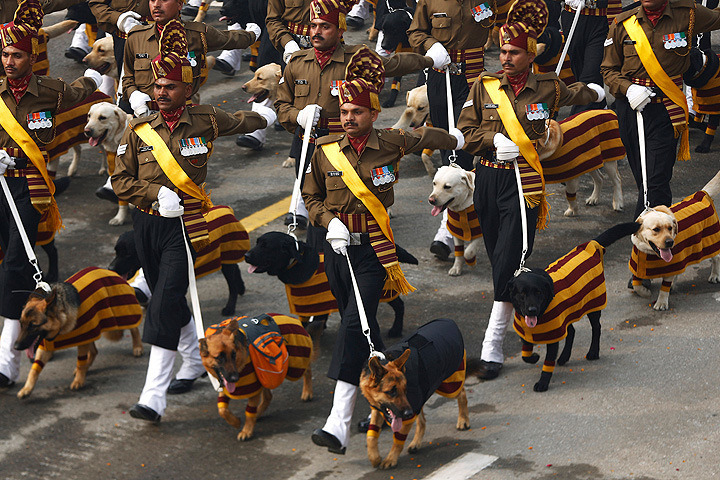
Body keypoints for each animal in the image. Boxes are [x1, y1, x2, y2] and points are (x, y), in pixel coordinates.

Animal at [15, 268, 143, 400]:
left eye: (33, 325)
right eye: (21, 324)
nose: (16, 347)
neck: (61, 322)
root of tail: (112, 272)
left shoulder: (83, 336)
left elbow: (80, 362)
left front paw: (79, 380)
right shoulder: (47, 346)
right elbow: (34, 371)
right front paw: (27, 388)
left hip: (122, 314)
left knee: (134, 327)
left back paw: (137, 346)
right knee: (94, 351)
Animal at [358, 318, 470, 468]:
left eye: (405, 390)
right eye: (391, 391)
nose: (408, 413)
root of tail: (449, 321)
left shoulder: (408, 411)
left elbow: (398, 441)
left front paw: (391, 458)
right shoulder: (378, 409)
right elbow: (371, 436)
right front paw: (374, 457)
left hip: (448, 386)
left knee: (462, 393)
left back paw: (463, 419)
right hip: (423, 395)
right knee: (422, 421)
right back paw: (416, 443)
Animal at [506, 223, 636, 392]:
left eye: (539, 292)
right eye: (522, 293)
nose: (532, 310)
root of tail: (591, 245)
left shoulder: (554, 334)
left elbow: (548, 362)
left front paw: (543, 383)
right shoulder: (527, 330)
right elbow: (525, 353)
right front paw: (534, 357)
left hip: (593, 305)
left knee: (596, 328)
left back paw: (593, 352)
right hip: (568, 313)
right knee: (572, 331)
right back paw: (564, 356)